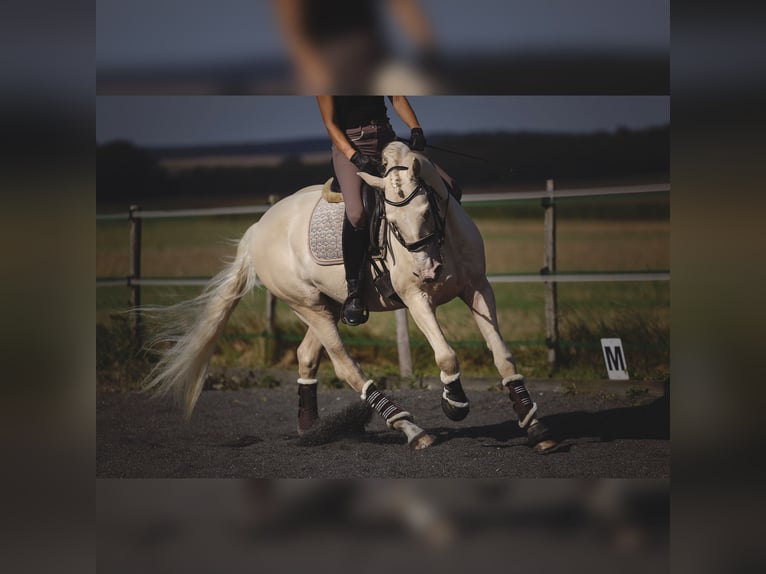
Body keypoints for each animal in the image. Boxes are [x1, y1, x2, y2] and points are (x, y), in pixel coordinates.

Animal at [146, 141, 560, 454]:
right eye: (392, 224)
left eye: (428, 210)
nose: (428, 271)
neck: (441, 244)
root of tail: (257, 228)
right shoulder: (416, 299)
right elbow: (446, 354)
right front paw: (454, 403)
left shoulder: (478, 288)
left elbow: (503, 355)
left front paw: (534, 426)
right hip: (308, 306)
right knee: (345, 367)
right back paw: (411, 429)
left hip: (328, 306)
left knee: (307, 355)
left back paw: (313, 429)